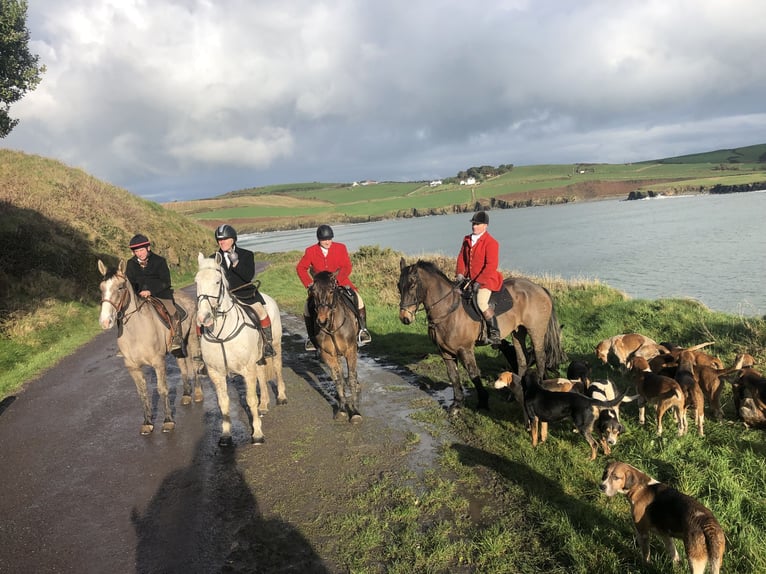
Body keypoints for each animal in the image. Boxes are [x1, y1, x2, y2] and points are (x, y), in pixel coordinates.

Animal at [98, 260, 204, 436]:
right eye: (101, 288)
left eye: (120, 287)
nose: (105, 322)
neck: (136, 331)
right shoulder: (132, 367)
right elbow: (142, 393)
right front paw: (147, 422)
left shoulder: (158, 362)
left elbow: (162, 389)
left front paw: (168, 421)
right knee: (183, 365)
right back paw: (186, 395)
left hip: (192, 339)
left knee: (194, 365)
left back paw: (197, 393)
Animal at [195, 254, 288, 448]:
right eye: (196, 281)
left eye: (217, 281)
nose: (203, 318)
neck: (221, 333)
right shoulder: (216, 373)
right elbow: (223, 404)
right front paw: (225, 435)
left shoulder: (247, 369)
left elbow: (250, 399)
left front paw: (258, 434)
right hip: (257, 359)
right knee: (261, 374)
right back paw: (264, 404)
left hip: (275, 345)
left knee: (277, 368)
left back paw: (281, 396)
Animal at [308, 270, 364, 424]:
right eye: (313, 291)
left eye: (331, 291)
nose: (322, 320)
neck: (332, 327)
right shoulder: (328, 355)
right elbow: (338, 380)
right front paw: (343, 409)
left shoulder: (351, 351)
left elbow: (351, 378)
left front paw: (355, 412)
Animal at [400, 260, 568, 414]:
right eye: (398, 285)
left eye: (412, 285)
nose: (404, 318)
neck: (448, 310)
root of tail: (539, 288)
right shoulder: (444, 351)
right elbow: (453, 376)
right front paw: (457, 404)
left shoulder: (465, 349)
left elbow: (473, 373)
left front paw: (482, 402)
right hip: (518, 332)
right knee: (522, 360)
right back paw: (514, 395)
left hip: (536, 331)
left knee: (540, 358)